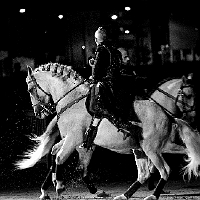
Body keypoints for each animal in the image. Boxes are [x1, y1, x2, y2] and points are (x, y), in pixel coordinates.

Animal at [15, 63, 198, 200]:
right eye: (187, 95)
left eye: (30, 89)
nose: (38, 112)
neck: (71, 100)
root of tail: (168, 115)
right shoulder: (72, 139)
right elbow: (56, 153)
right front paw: (55, 183)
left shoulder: (74, 139)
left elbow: (59, 157)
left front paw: (59, 185)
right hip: (152, 147)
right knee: (151, 169)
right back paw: (123, 195)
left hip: (152, 149)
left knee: (164, 170)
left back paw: (151, 195)